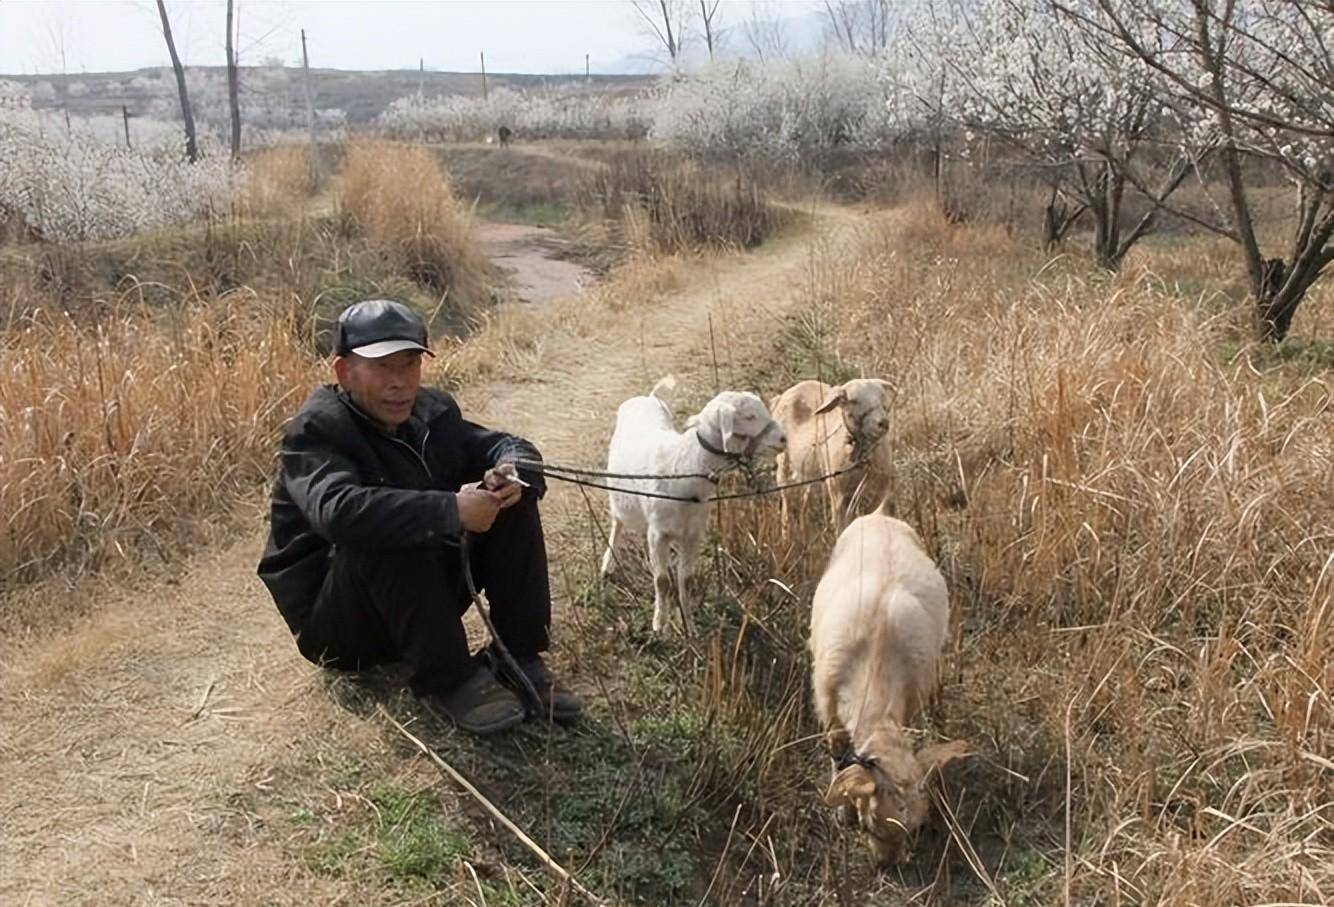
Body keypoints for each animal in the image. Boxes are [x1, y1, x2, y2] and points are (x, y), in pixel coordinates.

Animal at [768, 376, 891, 525]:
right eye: (853, 400)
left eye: (882, 397)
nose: (883, 423)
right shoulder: (837, 493)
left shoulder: (877, 494)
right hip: (783, 465)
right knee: (787, 503)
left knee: (805, 501)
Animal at [805, 504, 965, 864]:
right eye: (871, 825)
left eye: (917, 828)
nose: (885, 865)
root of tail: (879, 514)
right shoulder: (829, 711)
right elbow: (838, 757)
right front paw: (843, 815)